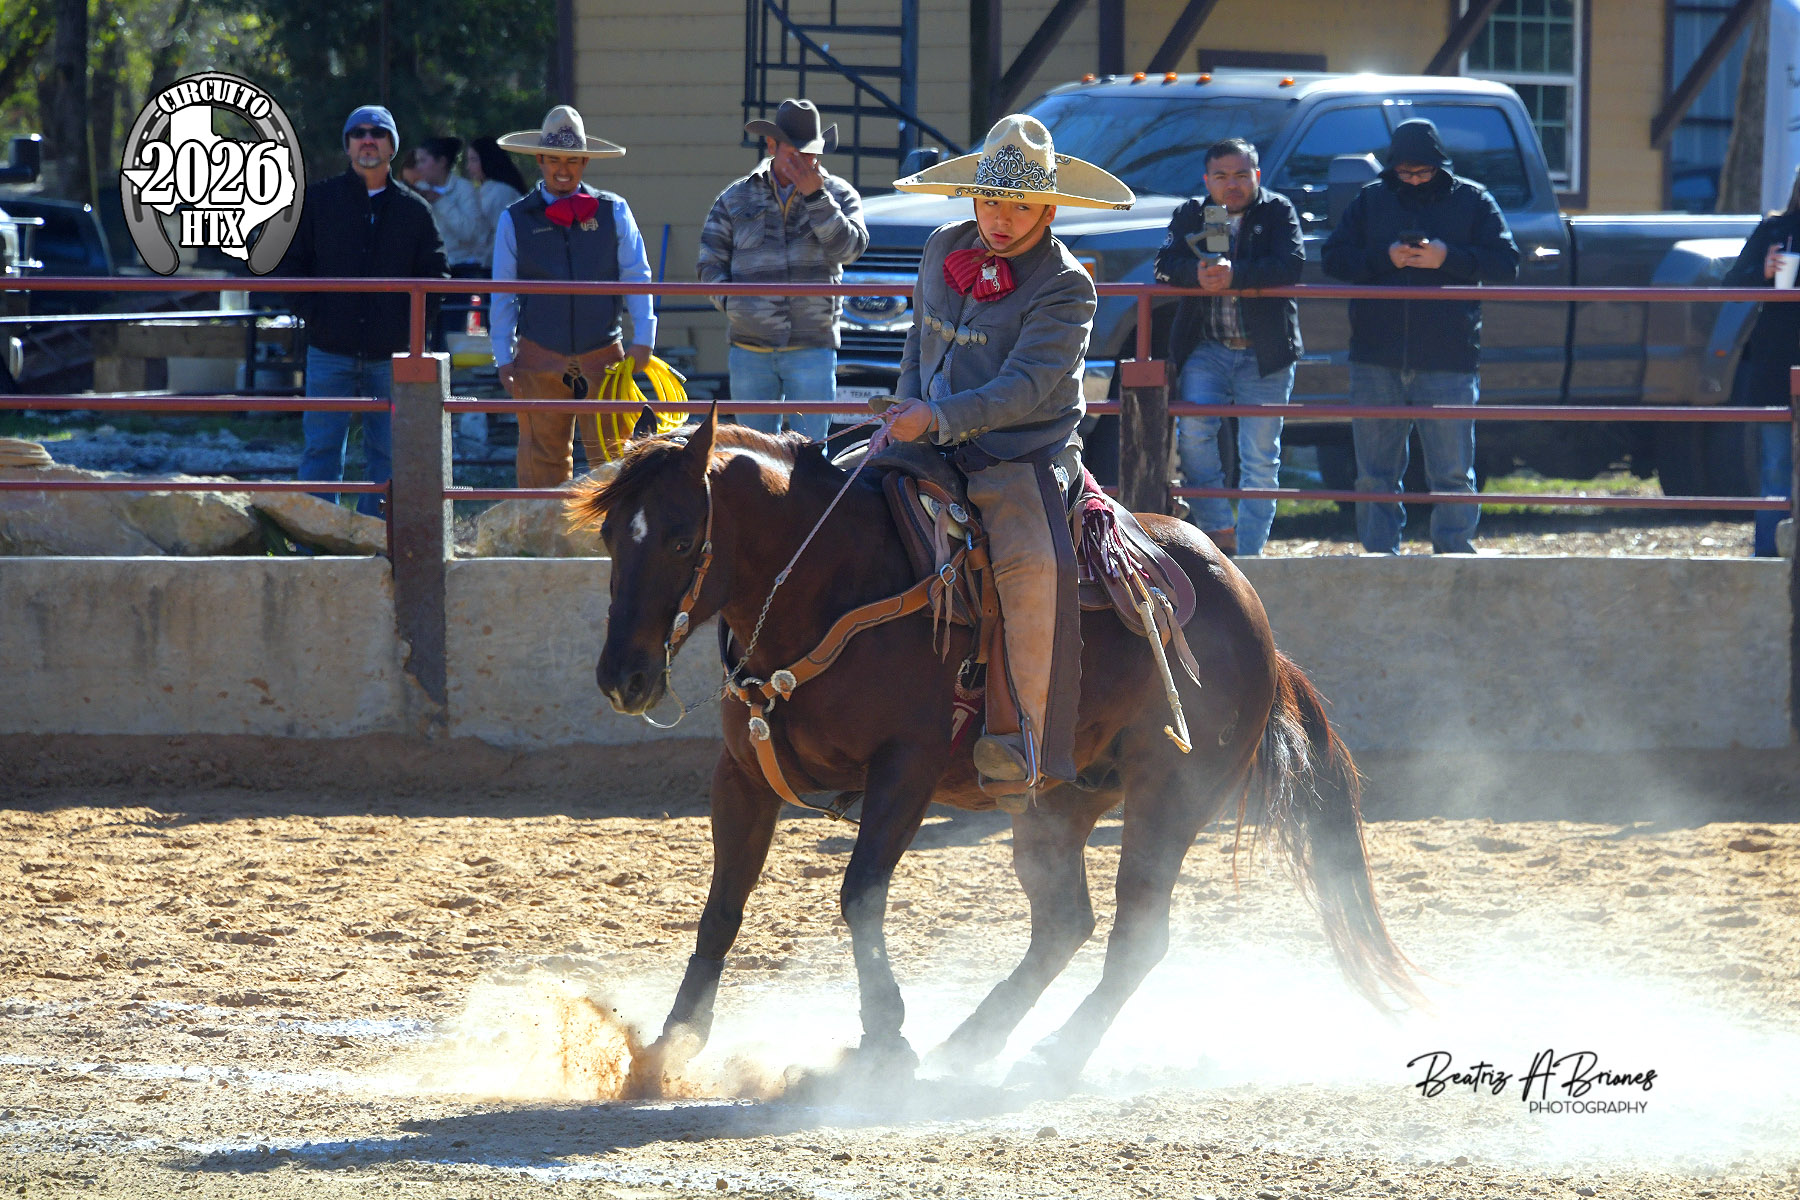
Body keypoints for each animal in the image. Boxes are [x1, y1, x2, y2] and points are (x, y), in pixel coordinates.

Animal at [568, 405, 1421, 1092]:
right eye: (611, 534)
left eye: (684, 538)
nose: (622, 677)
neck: (835, 581)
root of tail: (1254, 620)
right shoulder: (741, 773)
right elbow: (722, 906)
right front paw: (670, 1045)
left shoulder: (905, 769)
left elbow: (860, 893)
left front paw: (886, 1041)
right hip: (1057, 804)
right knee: (1065, 923)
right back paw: (972, 1043)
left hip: (1171, 796)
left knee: (1137, 931)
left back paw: (1054, 1054)